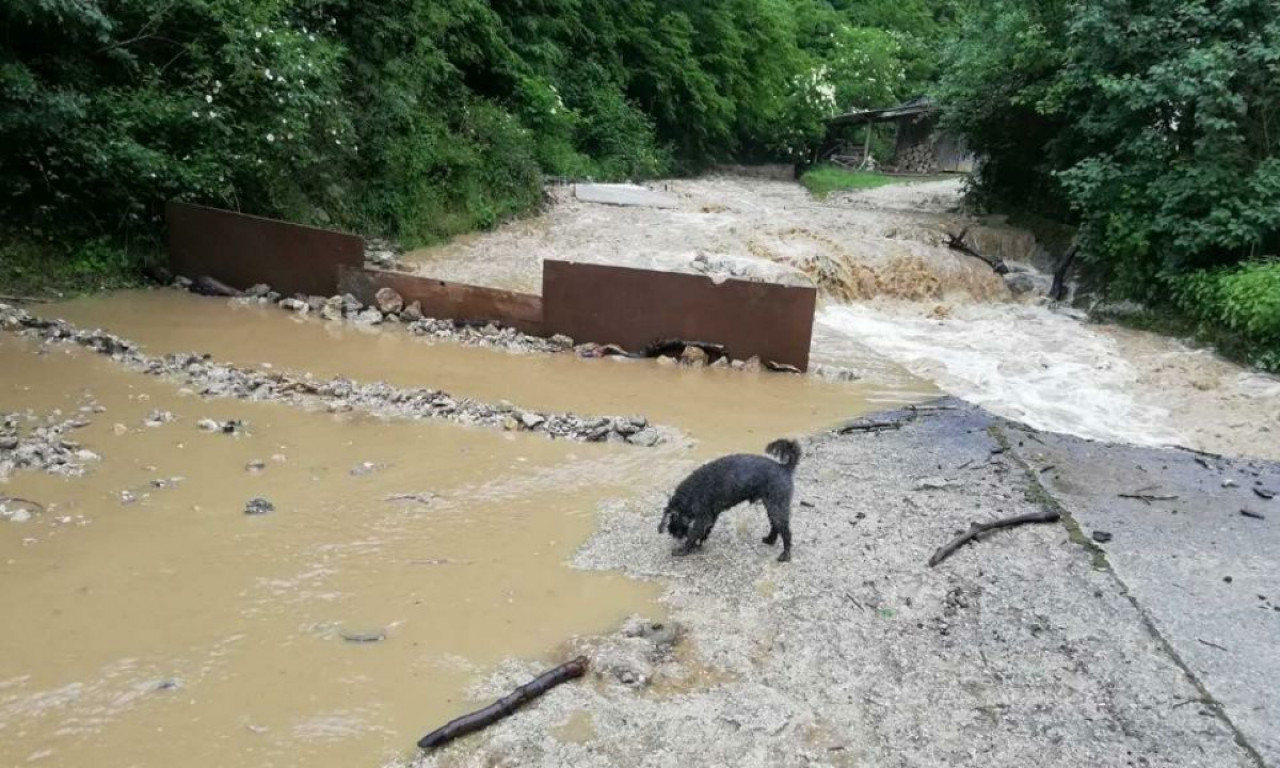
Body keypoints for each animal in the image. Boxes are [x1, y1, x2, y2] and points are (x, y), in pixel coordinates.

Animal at [660, 440, 798, 560]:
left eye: (672, 521)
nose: (674, 534)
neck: (692, 493)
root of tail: (784, 467)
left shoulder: (703, 517)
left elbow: (694, 533)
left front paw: (683, 550)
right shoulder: (710, 515)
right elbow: (704, 531)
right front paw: (698, 544)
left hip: (777, 506)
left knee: (786, 531)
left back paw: (785, 555)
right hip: (771, 505)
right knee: (775, 525)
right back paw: (770, 540)